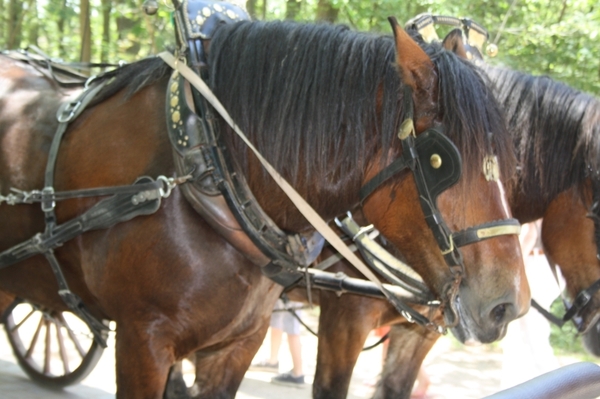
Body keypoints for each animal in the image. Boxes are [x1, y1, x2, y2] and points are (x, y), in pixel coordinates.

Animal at [0, 17, 524, 398]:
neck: (212, 163)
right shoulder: (142, 342)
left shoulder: (236, 345)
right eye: (440, 161)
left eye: (512, 162)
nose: (509, 306)